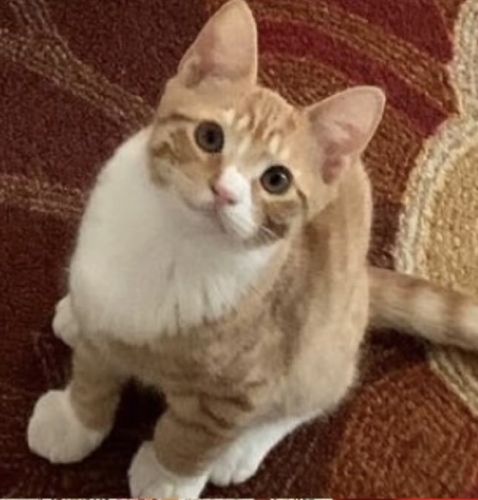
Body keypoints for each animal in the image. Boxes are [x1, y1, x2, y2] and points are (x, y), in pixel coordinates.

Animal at [27, 0, 478, 496]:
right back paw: (72, 315)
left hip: (322, 343)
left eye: (276, 180)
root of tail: (361, 280)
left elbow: (189, 438)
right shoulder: (106, 312)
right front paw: (75, 421)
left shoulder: (237, 390)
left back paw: (241, 450)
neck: (175, 245)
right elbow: (92, 374)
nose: (225, 192)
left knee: (319, 392)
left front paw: (168, 478)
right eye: (209, 136)